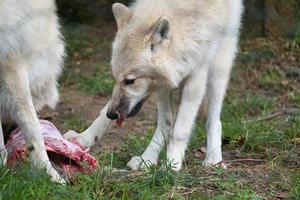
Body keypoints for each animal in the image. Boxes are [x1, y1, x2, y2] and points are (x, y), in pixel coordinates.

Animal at [64, 0, 243, 171]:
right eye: (116, 78)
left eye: (130, 81)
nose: (112, 114)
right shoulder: (161, 84)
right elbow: (166, 121)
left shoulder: (196, 77)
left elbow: (180, 129)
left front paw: (171, 164)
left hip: (218, 69)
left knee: (214, 119)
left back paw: (213, 158)